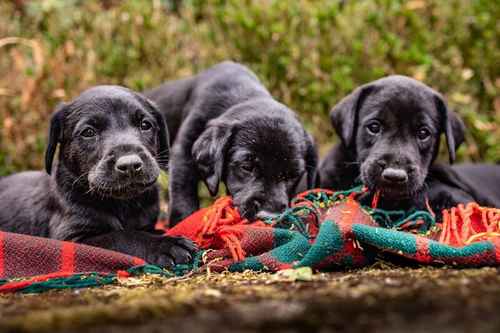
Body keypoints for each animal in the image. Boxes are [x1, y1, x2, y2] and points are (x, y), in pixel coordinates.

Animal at [0, 85, 197, 268]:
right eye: (88, 132)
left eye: (145, 125)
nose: (130, 165)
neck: (122, 204)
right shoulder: (72, 238)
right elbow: (121, 236)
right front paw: (166, 245)